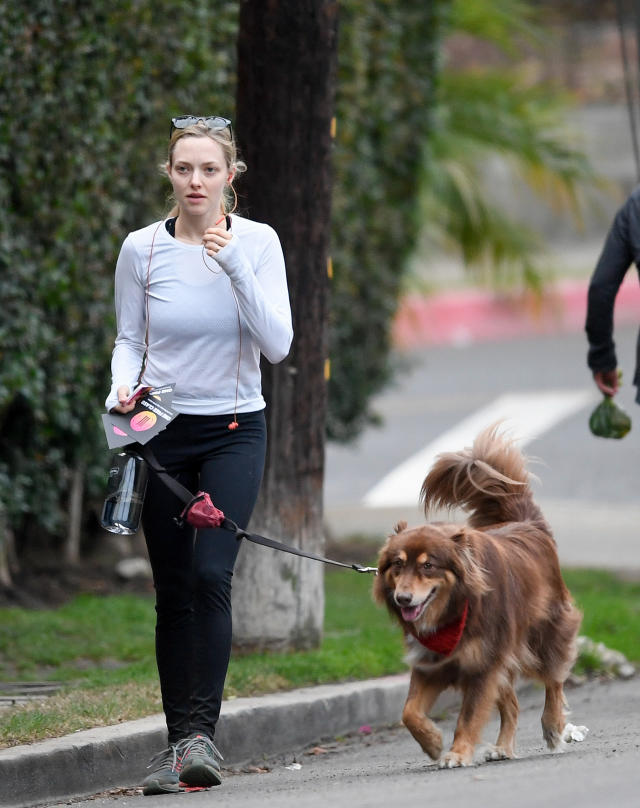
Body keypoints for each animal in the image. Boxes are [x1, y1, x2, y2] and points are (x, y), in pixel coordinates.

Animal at [372, 426, 588, 768]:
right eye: (397, 564)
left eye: (428, 566)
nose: (403, 599)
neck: (455, 610)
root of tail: (528, 524)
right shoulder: (431, 664)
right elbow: (409, 712)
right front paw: (432, 742)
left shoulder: (483, 666)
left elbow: (469, 716)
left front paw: (458, 753)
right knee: (512, 703)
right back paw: (502, 747)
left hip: (544, 636)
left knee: (553, 681)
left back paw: (553, 727)